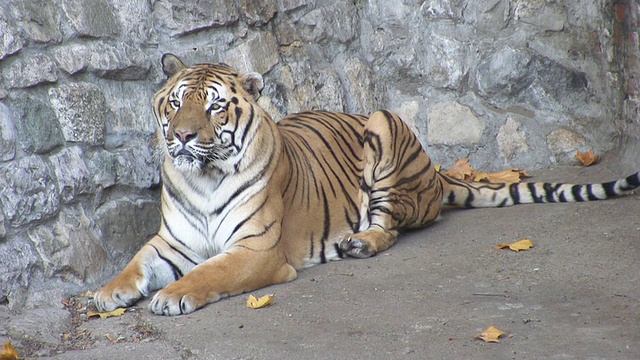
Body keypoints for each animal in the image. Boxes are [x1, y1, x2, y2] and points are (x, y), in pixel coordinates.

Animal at [94, 53, 640, 316]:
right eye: (175, 102)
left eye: (214, 107)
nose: (182, 136)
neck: (203, 178)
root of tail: (437, 173)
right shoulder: (170, 242)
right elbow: (134, 265)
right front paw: (105, 294)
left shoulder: (256, 251)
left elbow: (210, 273)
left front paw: (170, 297)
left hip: (384, 127)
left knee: (391, 228)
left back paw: (358, 243)